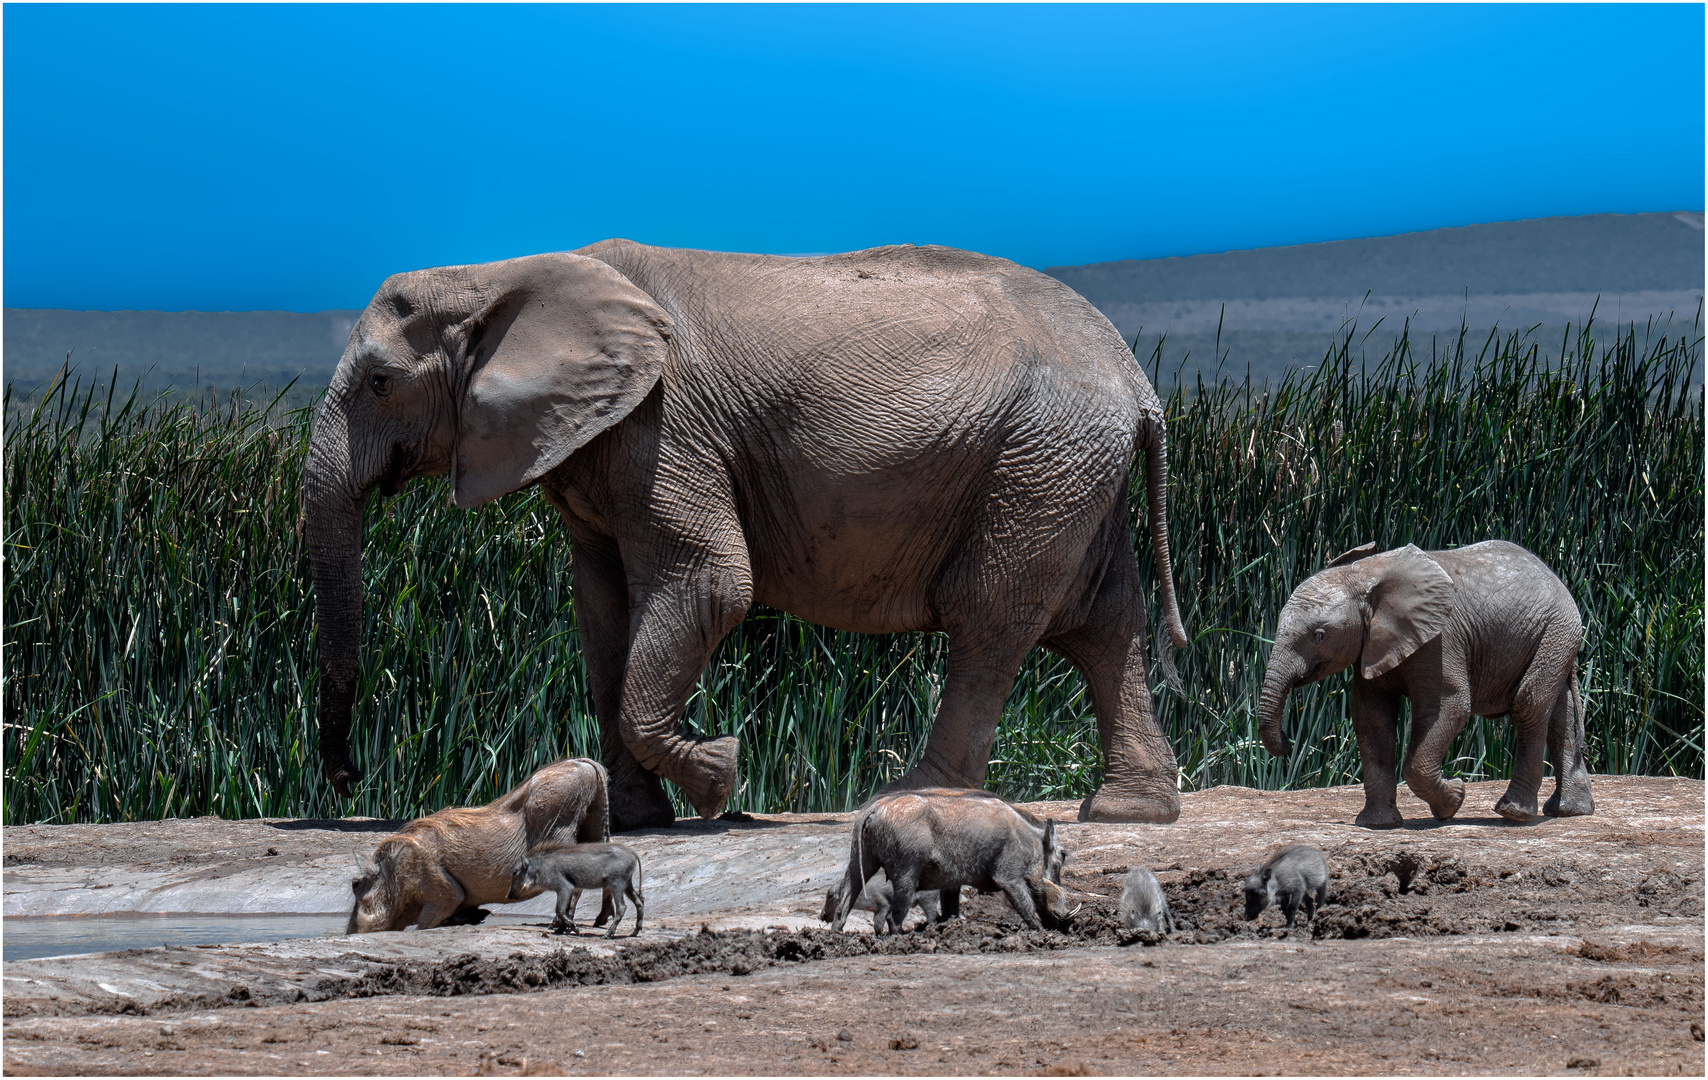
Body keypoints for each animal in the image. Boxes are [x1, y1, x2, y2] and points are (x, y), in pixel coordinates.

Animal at [307, 242, 1188, 827]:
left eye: (380, 383)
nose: (348, 780)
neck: (503, 272)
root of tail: (1138, 383)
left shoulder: (667, 428)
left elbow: (709, 582)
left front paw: (719, 777)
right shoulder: (597, 444)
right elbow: (602, 615)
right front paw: (637, 821)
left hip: (1037, 461)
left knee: (991, 619)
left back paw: (906, 797)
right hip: (1068, 468)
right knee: (1104, 622)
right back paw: (1128, 812)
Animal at [512, 840, 645, 929]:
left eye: (514, 872)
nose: (509, 896)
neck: (540, 868)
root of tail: (632, 852)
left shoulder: (564, 887)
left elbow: (560, 910)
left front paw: (573, 929)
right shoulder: (570, 889)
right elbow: (567, 909)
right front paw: (561, 930)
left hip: (616, 883)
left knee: (622, 907)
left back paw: (608, 935)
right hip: (627, 883)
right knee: (639, 902)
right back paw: (635, 932)